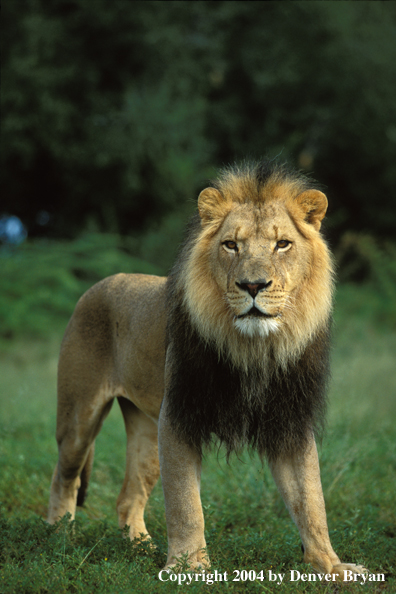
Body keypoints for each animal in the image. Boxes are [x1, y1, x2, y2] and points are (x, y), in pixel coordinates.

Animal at [48, 158, 368, 580]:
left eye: (282, 244)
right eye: (231, 244)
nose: (253, 285)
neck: (254, 348)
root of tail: (102, 282)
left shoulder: (289, 421)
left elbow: (311, 500)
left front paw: (331, 566)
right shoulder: (179, 414)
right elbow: (186, 504)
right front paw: (190, 566)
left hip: (147, 430)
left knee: (128, 496)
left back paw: (139, 546)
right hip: (80, 416)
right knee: (64, 476)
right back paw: (58, 536)